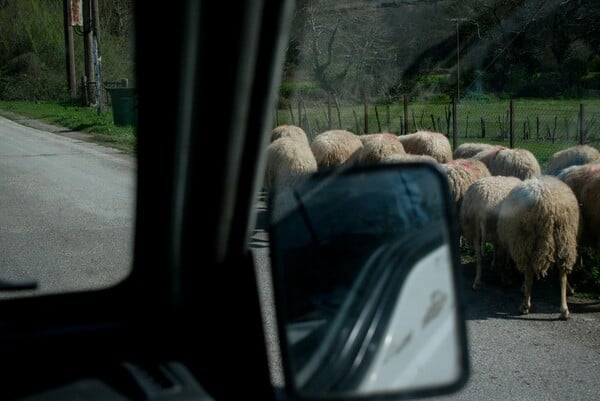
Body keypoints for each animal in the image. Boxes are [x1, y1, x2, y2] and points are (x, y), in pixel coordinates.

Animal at [494, 175, 580, 318]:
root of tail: (545, 204)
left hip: (525, 239)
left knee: (529, 272)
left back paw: (525, 305)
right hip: (564, 236)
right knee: (562, 274)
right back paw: (564, 310)